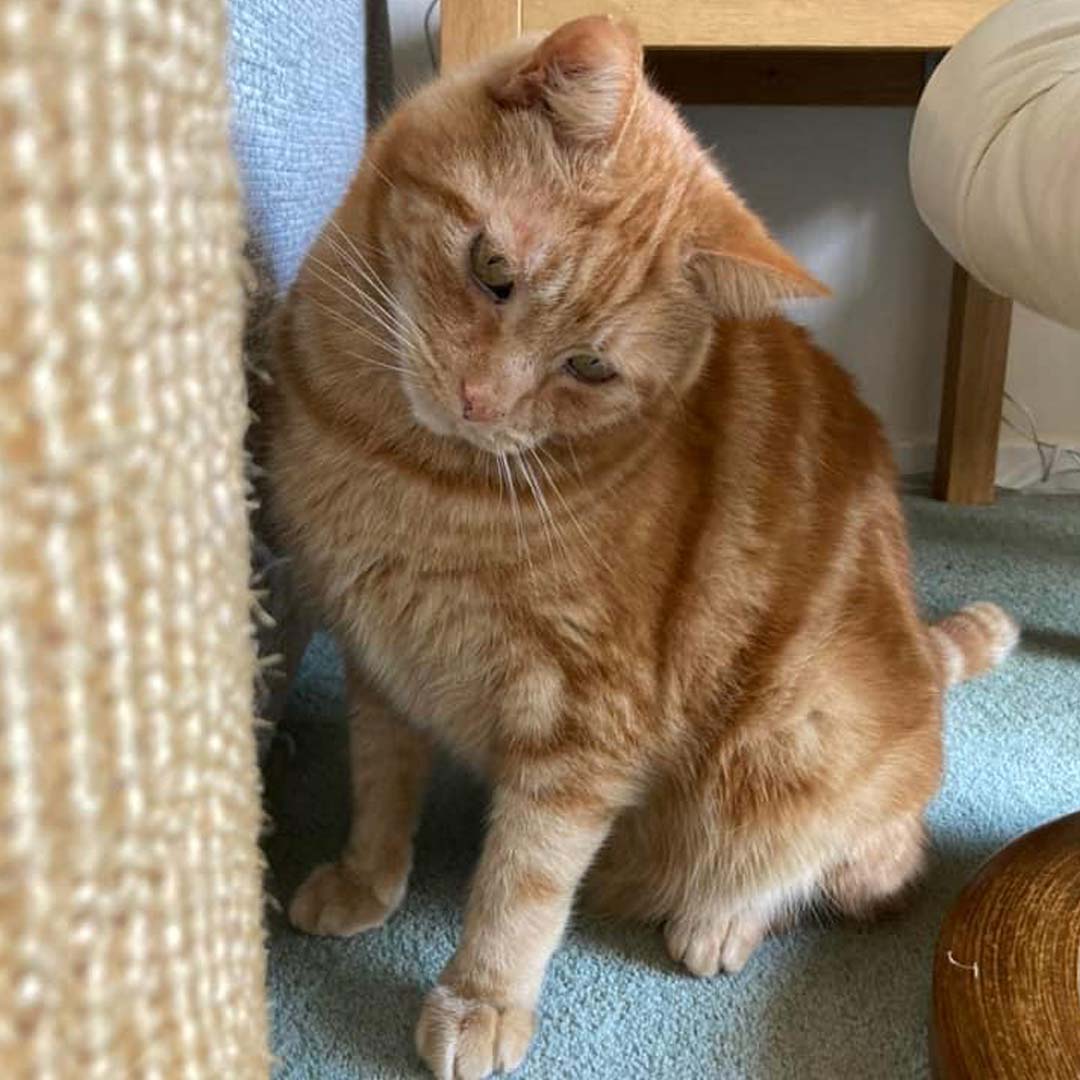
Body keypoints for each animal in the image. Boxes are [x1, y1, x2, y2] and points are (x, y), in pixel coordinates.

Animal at [265, 19, 1015, 1080]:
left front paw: (482, 998)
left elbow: (525, 883)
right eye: (491, 270)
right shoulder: (381, 659)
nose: (480, 403)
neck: (399, 464)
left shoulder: (584, 722)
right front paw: (368, 878)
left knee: (858, 865)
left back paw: (720, 920)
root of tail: (916, 642)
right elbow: (379, 782)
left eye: (589, 367)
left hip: (793, 740)